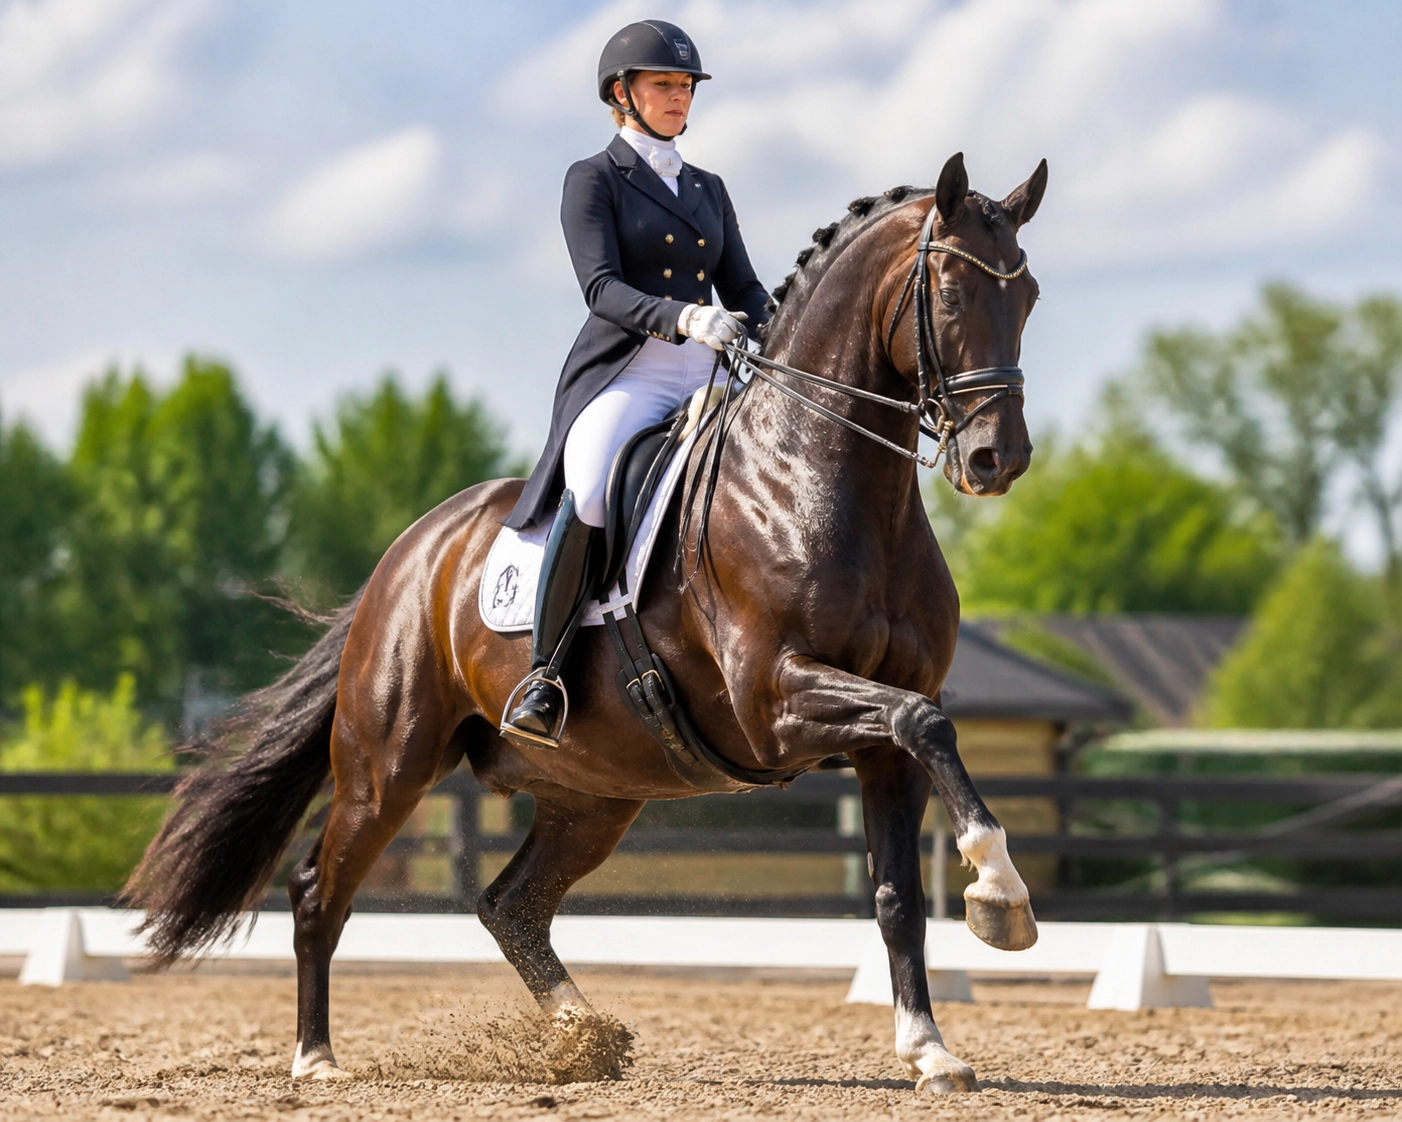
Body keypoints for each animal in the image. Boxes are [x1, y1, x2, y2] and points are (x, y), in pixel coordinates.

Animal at [124, 151, 1048, 1095]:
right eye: (948, 293)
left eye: (1029, 296)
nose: (996, 460)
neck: (823, 483)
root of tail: (409, 553)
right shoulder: (777, 703)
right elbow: (925, 723)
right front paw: (1001, 896)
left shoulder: (877, 737)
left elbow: (900, 882)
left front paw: (933, 1047)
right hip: (389, 764)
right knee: (321, 888)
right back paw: (318, 1059)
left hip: (594, 793)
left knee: (512, 905)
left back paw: (583, 1034)